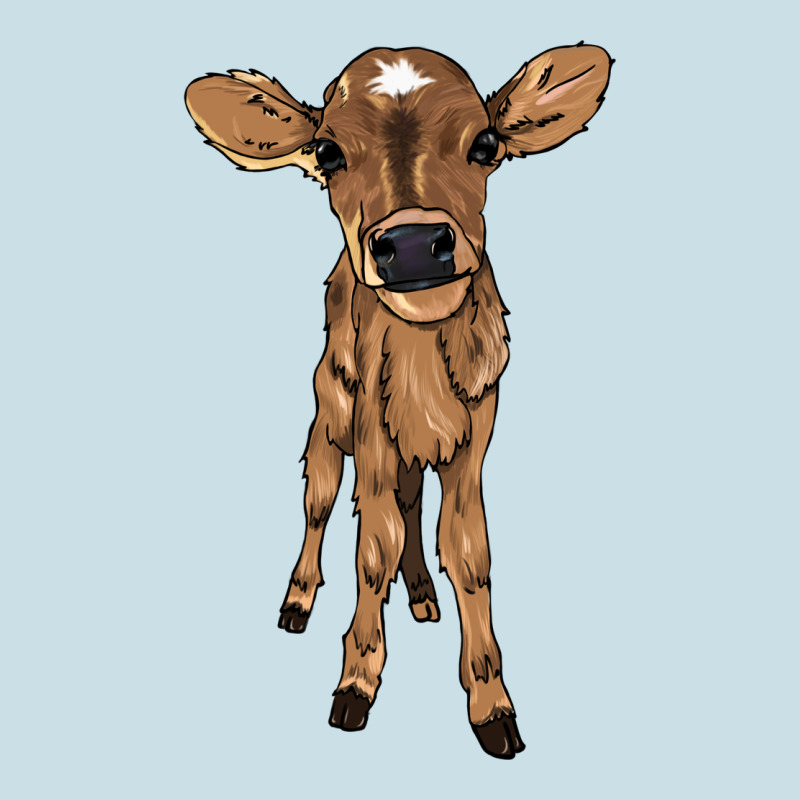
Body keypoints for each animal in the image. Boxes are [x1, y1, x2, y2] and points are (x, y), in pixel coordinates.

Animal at [184, 43, 612, 759]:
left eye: (486, 144)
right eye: (328, 152)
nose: (412, 245)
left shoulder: (472, 444)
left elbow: (468, 553)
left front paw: (492, 704)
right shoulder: (372, 437)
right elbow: (370, 549)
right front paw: (356, 684)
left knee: (413, 505)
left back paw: (421, 595)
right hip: (330, 412)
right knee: (321, 499)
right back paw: (298, 601)